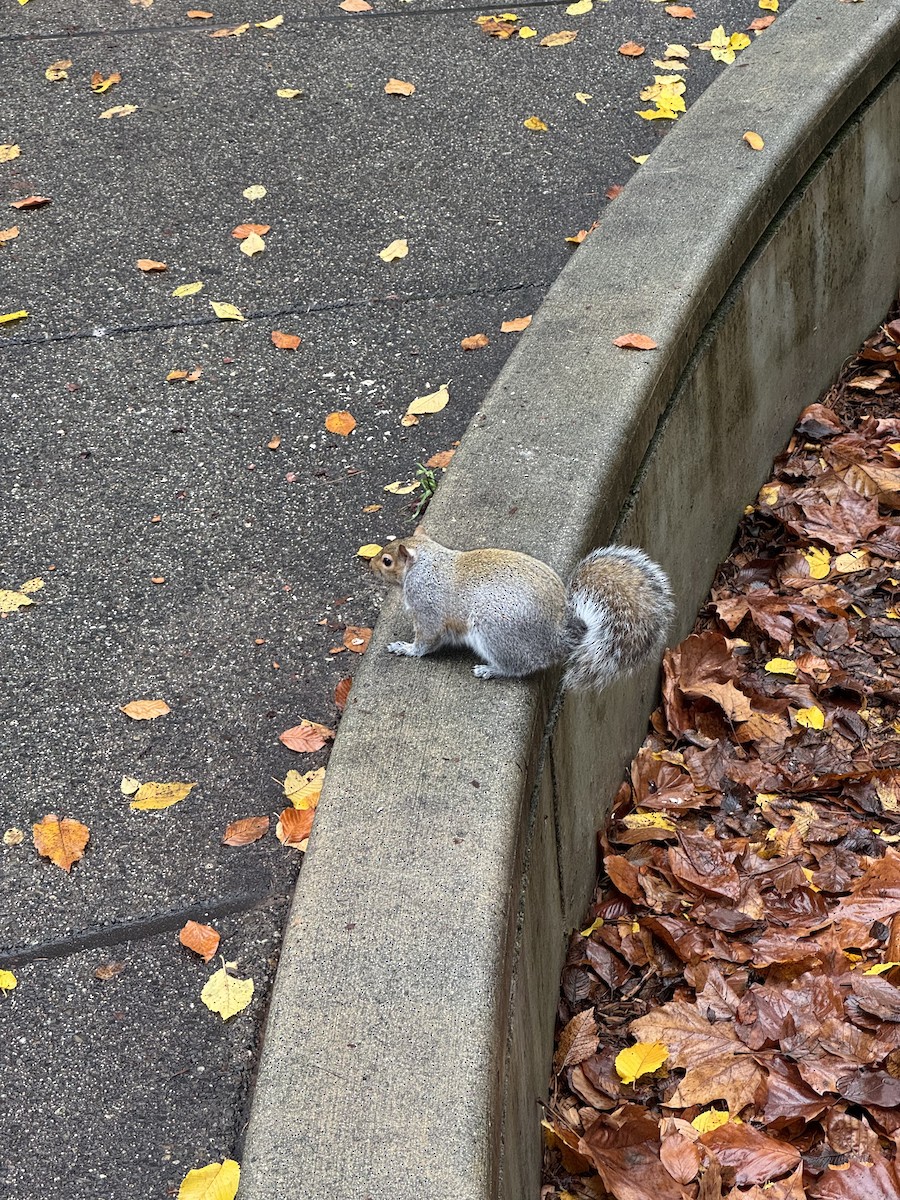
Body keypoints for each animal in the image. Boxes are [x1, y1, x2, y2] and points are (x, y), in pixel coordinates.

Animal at [370, 526, 674, 692]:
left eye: (387, 561)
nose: (370, 564)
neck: (425, 564)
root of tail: (559, 636)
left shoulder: (427, 608)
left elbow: (426, 641)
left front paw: (405, 648)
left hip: (494, 632)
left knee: (519, 667)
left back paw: (490, 670)